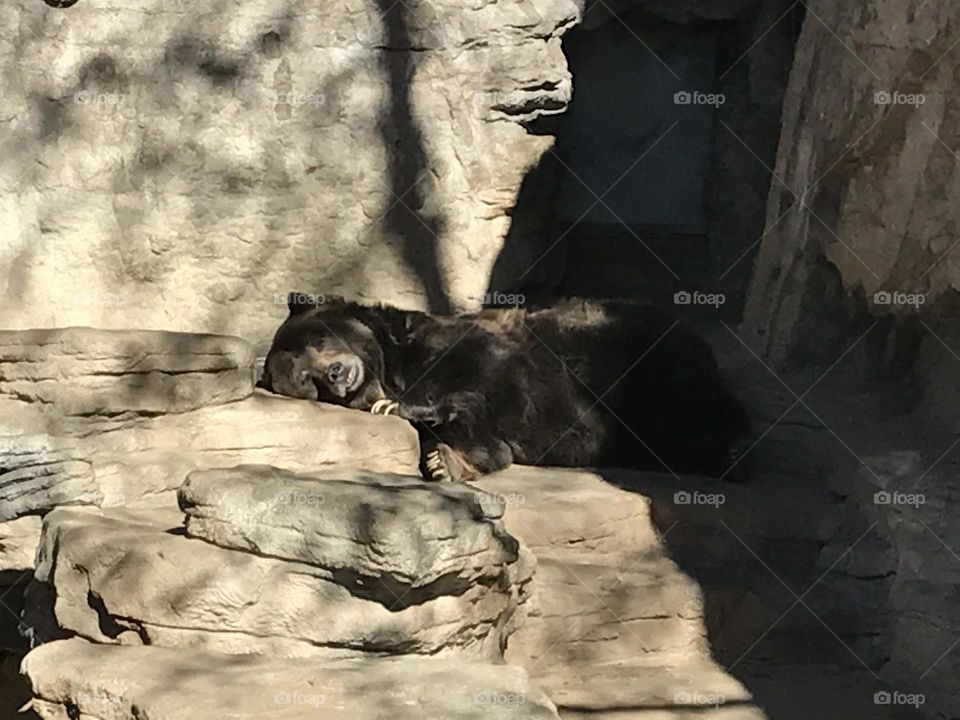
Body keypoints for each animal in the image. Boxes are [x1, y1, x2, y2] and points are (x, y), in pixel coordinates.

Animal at [259, 293, 752, 483]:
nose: (335, 374)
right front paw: (445, 460)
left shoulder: (473, 347)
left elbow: (483, 379)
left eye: (317, 340)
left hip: (651, 360)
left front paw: (413, 416)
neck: (391, 367)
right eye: (306, 379)